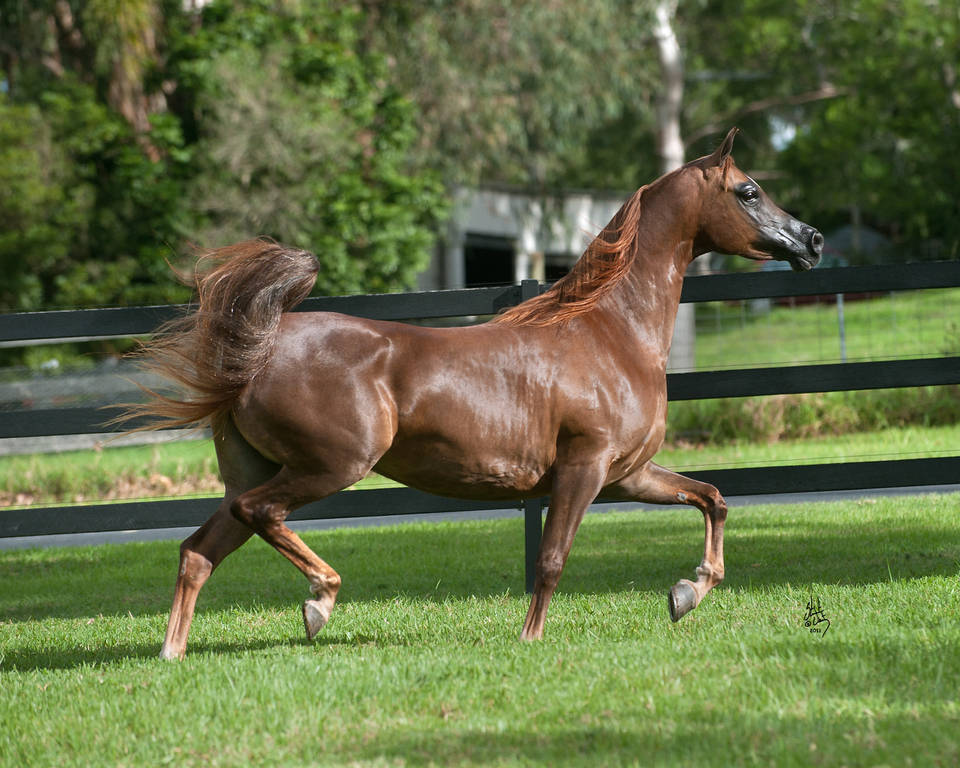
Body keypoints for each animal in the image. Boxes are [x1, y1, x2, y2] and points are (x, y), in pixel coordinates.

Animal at [125, 127, 822, 659]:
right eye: (750, 191)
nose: (812, 240)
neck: (610, 332)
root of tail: (259, 351)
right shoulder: (584, 467)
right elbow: (551, 559)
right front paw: (530, 639)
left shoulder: (627, 474)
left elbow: (713, 498)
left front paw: (686, 594)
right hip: (328, 466)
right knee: (258, 515)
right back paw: (319, 601)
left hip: (254, 471)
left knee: (198, 551)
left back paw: (172, 652)